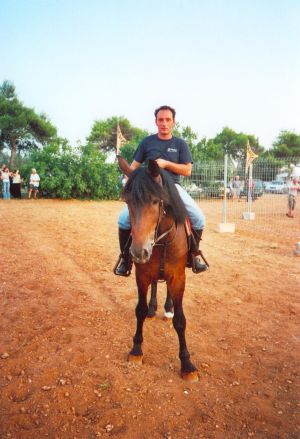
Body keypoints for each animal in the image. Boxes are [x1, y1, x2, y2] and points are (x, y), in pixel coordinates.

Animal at [118, 157, 199, 382]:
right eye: (127, 201)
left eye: (155, 201)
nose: (138, 252)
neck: (162, 238)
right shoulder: (142, 274)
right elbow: (139, 310)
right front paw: (136, 350)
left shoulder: (178, 277)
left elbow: (180, 321)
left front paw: (187, 364)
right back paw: (154, 308)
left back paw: (167, 308)